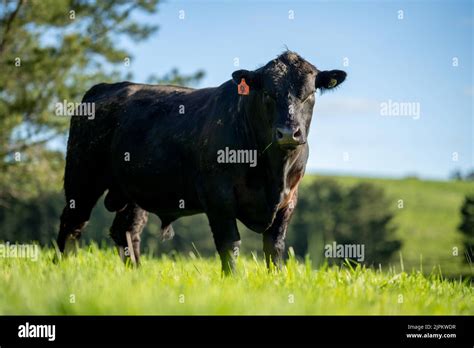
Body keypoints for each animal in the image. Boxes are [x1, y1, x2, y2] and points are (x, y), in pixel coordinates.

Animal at [57, 51, 346, 274]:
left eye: (309, 94)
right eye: (268, 94)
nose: (288, 133)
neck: (273, 170)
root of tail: (106, 87)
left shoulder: (288, 200)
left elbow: (274, 247)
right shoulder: (218, 197)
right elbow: (230, 245)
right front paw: (232, 281)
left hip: (132, 191)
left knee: (126, 231)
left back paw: (136, 276)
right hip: (82, 176)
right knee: (72, 223)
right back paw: (65, 271)